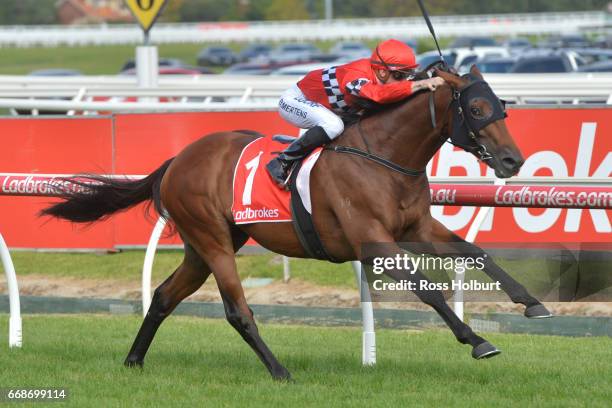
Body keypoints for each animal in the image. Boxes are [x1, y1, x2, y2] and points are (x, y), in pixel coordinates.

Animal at [41, 65, 548, 380]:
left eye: (503, 106)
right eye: (476, 109)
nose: (512, 160)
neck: (385, 156)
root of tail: (178, 161)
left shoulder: (416, 230)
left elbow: (476, 253)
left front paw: (532, 303)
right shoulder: (373, 240)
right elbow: (429, 290)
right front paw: (476, 340)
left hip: (203, 246)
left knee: (165, 296)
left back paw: (133, 360)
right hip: (213, 240)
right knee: (237, 311)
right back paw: (280, 371)